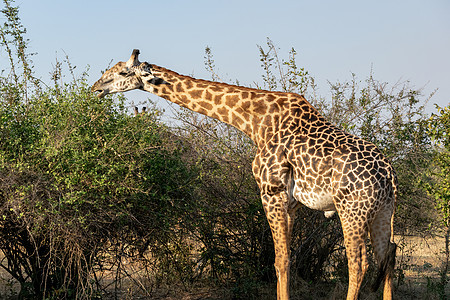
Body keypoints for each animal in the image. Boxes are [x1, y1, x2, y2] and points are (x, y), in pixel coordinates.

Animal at [92, 50, 398, 298]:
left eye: (120, 72)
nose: (96, 87)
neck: (254, 122)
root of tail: (390, 176)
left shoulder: (270, 192)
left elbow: (280, 260)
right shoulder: (291, 203)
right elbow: (285, 259)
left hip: (352, 210)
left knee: (359, 264)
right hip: (383, 212)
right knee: (389, 256)